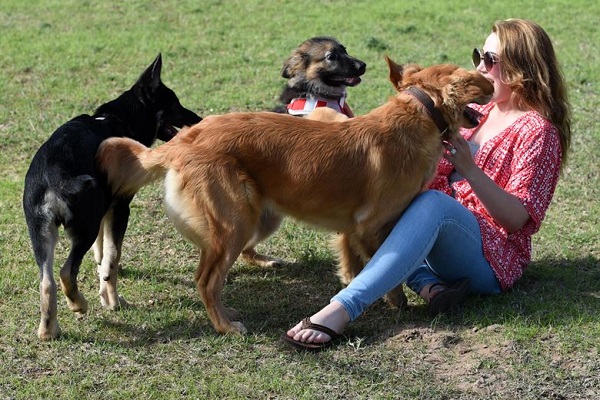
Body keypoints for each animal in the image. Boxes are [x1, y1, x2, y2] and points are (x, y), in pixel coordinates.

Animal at [22, 53, 202, 340]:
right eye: (174, 103)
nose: (198, 118)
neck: (115, 120)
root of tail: (53, 173)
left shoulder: (105, 211)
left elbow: (103, 249)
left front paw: (102, 278)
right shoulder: (120, 208)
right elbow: (112, 258)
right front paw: (112, 299)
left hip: (41, 233)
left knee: (47, 282)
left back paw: (49, 330)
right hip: (83, 225)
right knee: (66, 273)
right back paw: (80, 304)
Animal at [97, 57, 492, 334]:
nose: (489, 85)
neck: (419, 113)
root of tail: (183, 140)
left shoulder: (352, 229)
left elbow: (353, 266)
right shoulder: (372, 226)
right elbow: (387, 272)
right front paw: (397, 303)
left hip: (258, 218)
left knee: (221, 273)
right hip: (235, 222)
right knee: (207, 281)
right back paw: (225, 325)